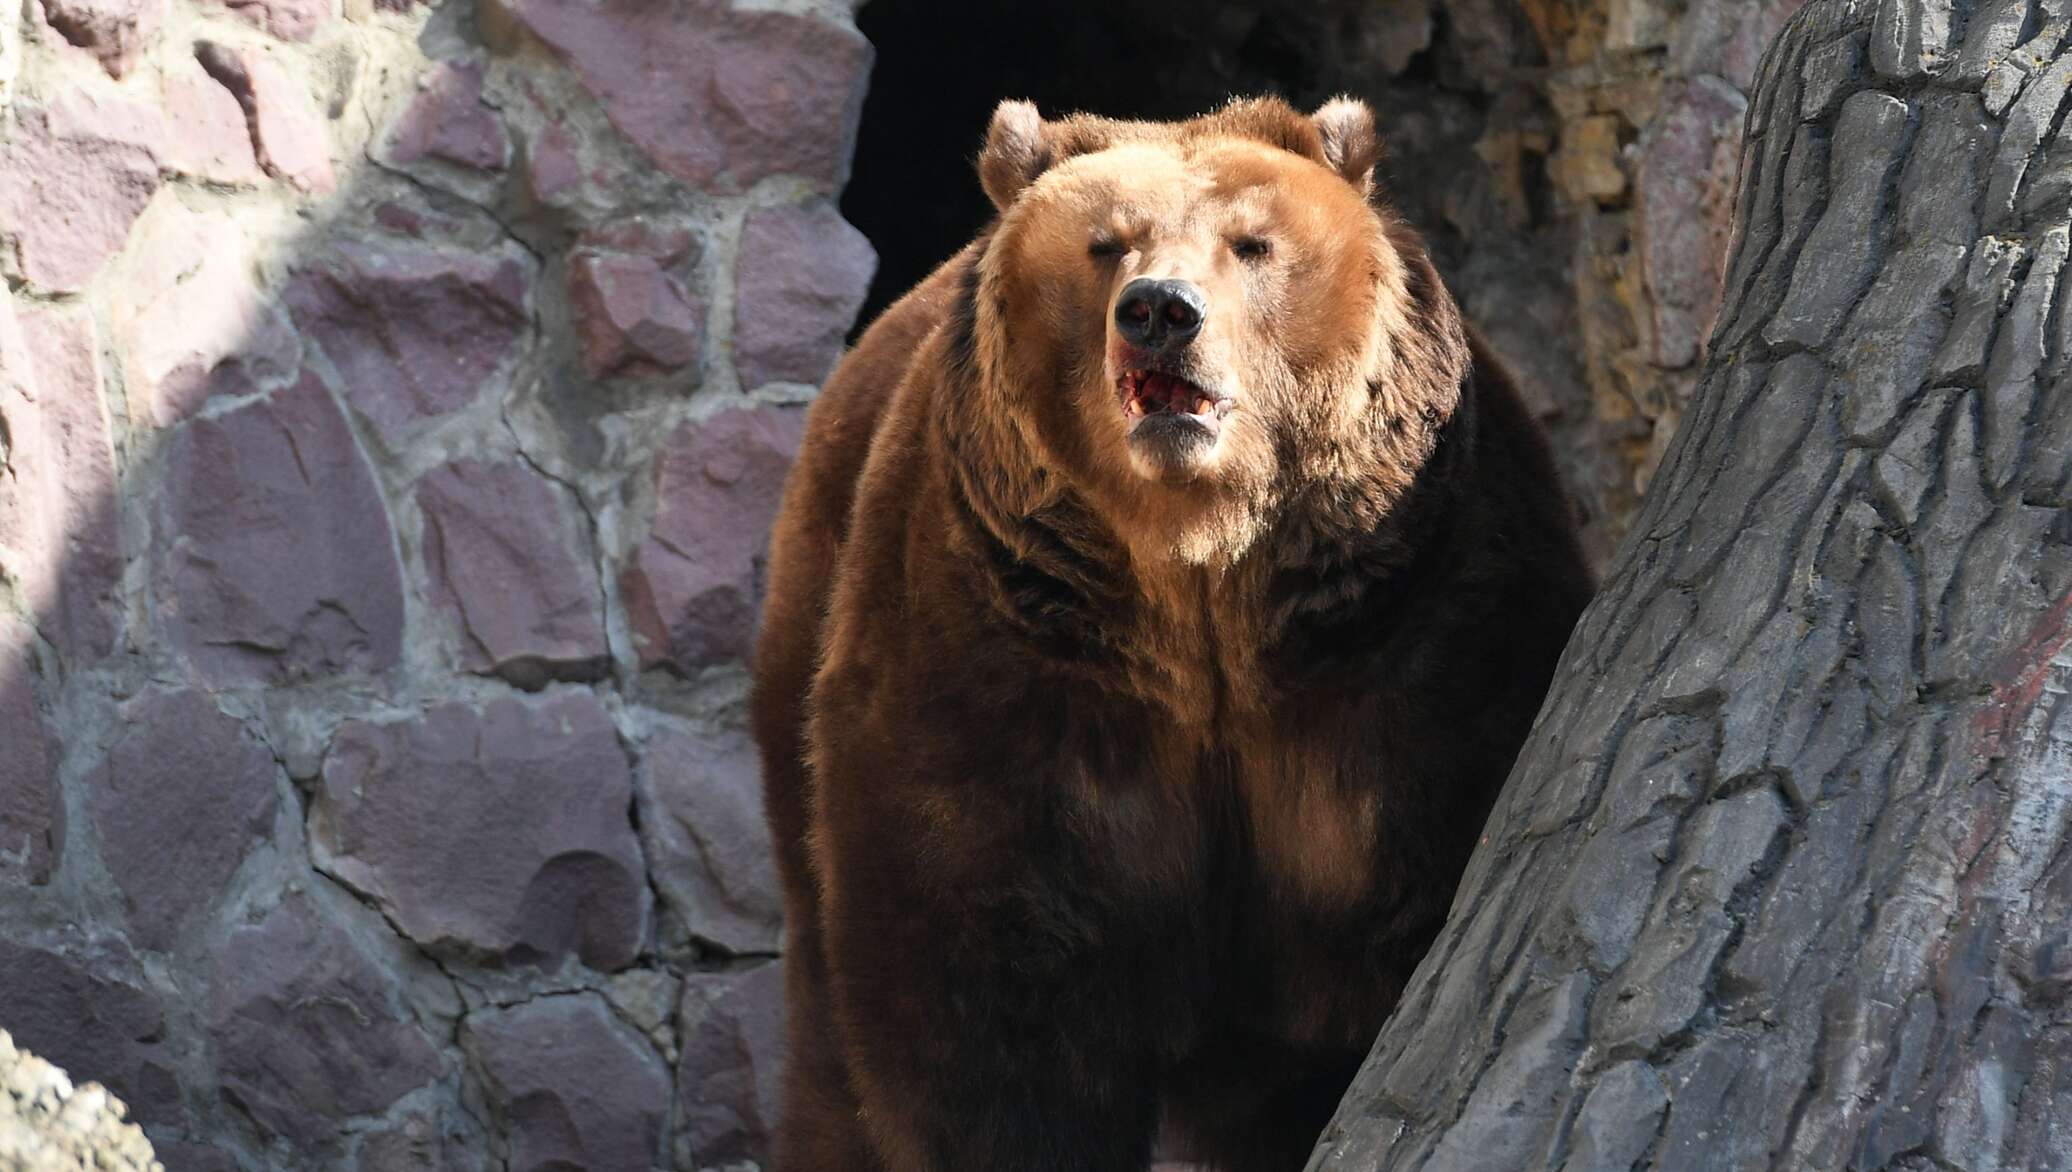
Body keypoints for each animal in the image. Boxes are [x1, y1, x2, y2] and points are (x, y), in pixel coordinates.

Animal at [754, 94, 1591, 1172]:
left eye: (1252, 242)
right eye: (1105, 243)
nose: (1159, 310)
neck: (1204, 595)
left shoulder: (1412, 635)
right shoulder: (1004, 661)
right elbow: (981, 992)